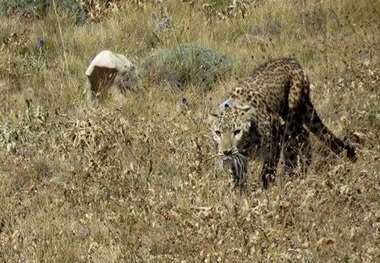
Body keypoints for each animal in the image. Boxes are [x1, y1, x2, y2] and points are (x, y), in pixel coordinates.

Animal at [209, 57, 358, 190]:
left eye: (237, 132)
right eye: (218, 133)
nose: (226, 152)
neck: (246, 145)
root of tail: (291, 60)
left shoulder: (276, 136)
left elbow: (268, 170)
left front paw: (266, 189)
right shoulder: (238, 159)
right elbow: (238, 177)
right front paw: (239, 195)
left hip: (290, 119)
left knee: (293, 146)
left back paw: (290, 176)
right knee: (303, 134)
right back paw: (304, 167)